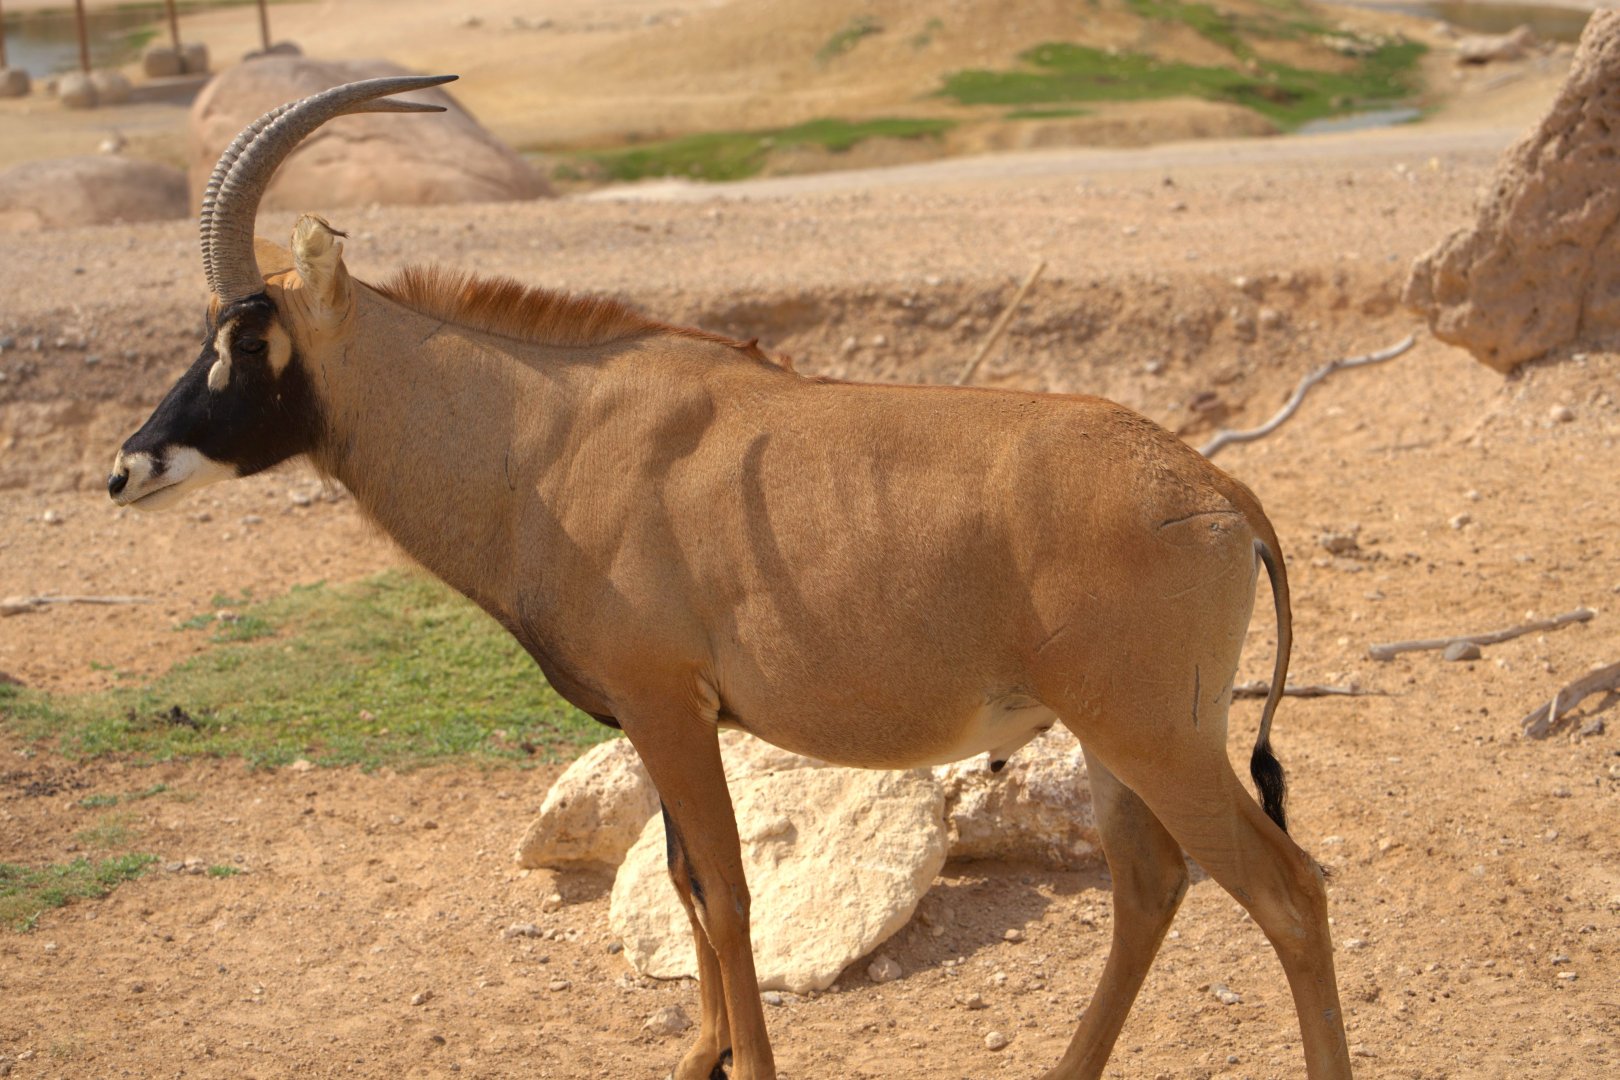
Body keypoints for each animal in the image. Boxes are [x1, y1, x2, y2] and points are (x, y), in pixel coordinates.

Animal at [108, 76, 1353, 1080]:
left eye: (249, 336)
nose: (128, 469)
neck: (544, 438)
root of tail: (1219, 493)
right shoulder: (656, 716)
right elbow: (682, 885)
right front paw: (699, 1053)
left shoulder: (667, 705)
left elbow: (728, 891)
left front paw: (744, 1062)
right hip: (1114, 740)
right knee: (1150, 887)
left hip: (1158, 737)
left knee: (1289, 892)